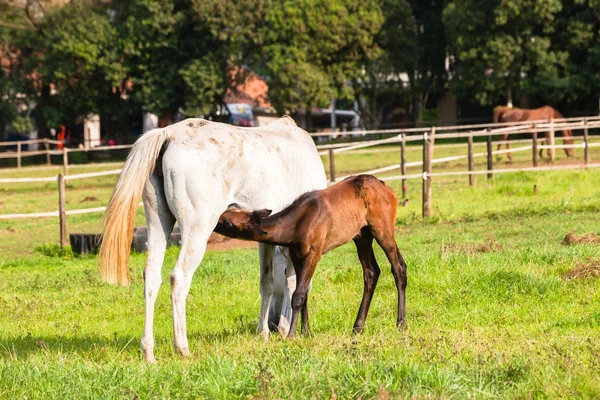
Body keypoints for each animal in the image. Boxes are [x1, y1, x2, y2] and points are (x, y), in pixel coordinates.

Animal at [99, 115, 326, 362]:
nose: (275, 325)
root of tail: (170, 134)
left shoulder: (265, 238)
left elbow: (266, 282)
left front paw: (263, 333)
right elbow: (290, 282)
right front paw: (285, 331)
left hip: (158, 224)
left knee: (151, 277)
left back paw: (148, 351)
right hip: (198, 231)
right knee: (179, 278)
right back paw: (182, 347)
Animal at [216, 175, 408, 338]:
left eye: (228, 222)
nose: (214, 222)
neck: (295, 224)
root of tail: (386, 187)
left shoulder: (314, 253)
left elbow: (299, 295)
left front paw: (292, 335)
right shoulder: (296, 255)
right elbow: (303, 293)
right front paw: (306, 332)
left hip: (382, 229)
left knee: (398, 266)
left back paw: (401, 323)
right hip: (362, 236)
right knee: (371, 271)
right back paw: (358, 326)